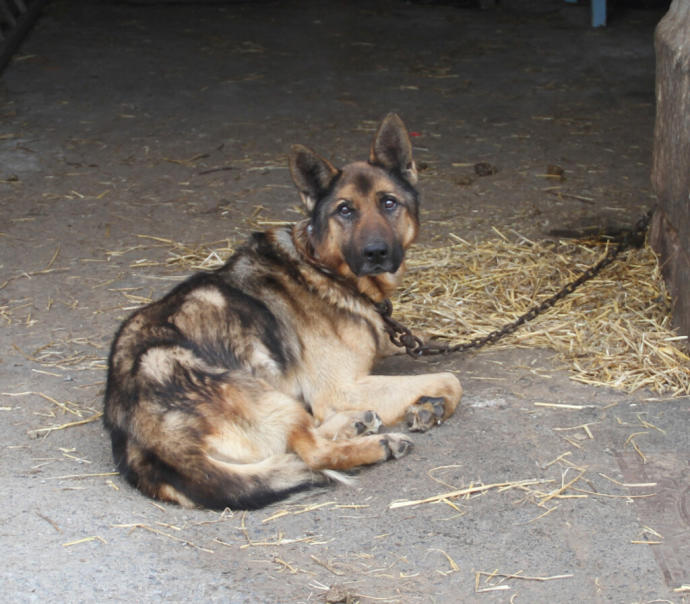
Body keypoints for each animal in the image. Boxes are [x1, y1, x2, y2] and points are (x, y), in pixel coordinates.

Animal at [105, 114, 462, 510]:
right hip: (264, 393)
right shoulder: (339, 389)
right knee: (312, 451)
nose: (376, 253)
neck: (326, 269)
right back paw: (378, 444)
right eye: (345, 210)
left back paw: (353, 424)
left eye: (388, 203)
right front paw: (432, 406)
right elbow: (451, 379)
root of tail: (141, 437)